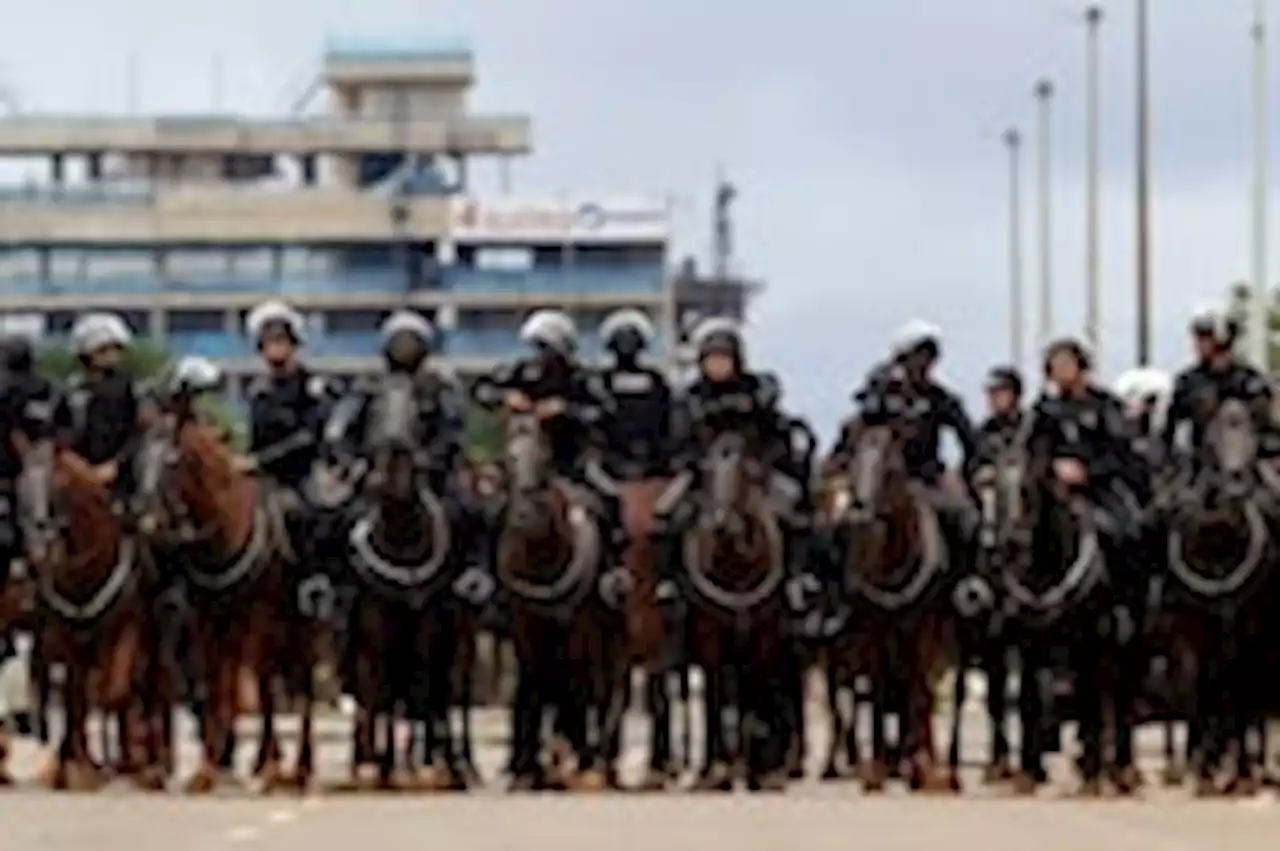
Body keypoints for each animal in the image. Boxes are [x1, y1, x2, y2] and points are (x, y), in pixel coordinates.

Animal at [16, 440, 153, 793]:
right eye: (20, 488)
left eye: (57, 489)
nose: (37, 558)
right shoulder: (68, 641)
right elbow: (76, 700)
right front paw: (79, 766)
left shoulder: (124, 632)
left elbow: (113, 693)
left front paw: (117, 764)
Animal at [133, 414, 286, 793]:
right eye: (139, 461)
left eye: (171, 462)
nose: (144, 521)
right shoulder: (202, 617)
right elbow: (213, 682)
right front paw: (207, 767)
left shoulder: (250, 617)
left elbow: (243, 685)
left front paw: (258, 763)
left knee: (266, 680)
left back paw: (266, 760)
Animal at [824, 414, 957, 793]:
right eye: (851, 463)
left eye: (891, 468)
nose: (857, 513)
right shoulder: (873, 632)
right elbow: (879, 694)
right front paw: (878, 768)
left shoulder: (923, 630)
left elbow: (917, 692)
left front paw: (922, 767)